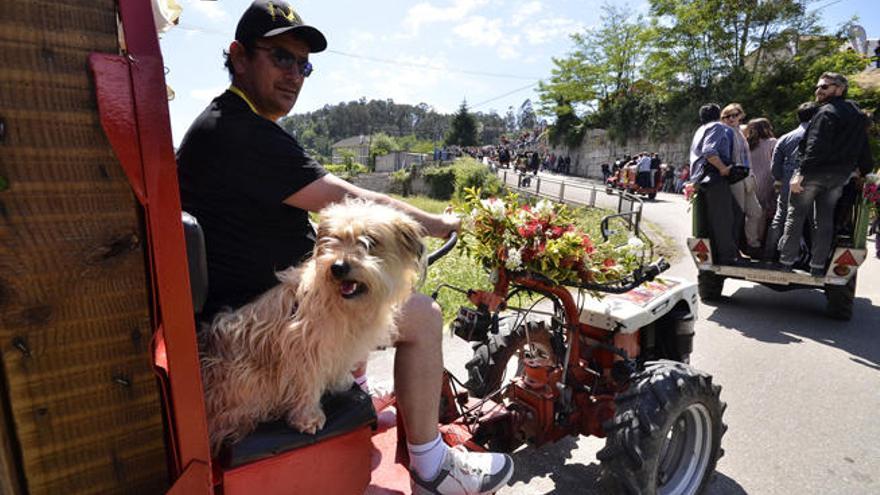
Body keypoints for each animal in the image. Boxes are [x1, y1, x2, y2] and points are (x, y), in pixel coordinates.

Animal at [204, 199, 430, 454]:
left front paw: (342, 381)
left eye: (370, 241)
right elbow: (307, 382)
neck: (342, 304)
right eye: (335, 238)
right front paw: (308, 418)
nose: (338, 267)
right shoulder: (302, 347)